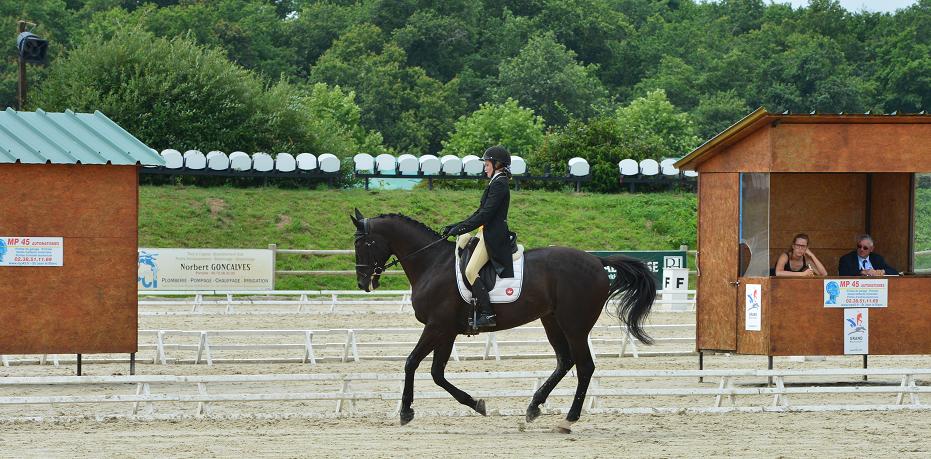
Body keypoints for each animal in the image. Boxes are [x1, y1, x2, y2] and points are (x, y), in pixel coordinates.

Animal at [350, 210, 656, 434]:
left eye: (363, 244)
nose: (364, 283)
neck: (432, 264)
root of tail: (597, 261)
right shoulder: (446, 331)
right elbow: (437, 373)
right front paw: (477, 404)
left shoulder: (437, 326)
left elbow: (411, 362)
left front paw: (405, 412)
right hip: (552, 321)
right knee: (565, 361)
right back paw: (534, 407)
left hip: (575, 326)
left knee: (585, 367)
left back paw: (567, 420)